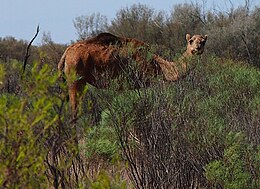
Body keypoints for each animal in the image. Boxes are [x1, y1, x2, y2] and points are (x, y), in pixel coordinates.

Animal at [58, 32, 207, 115]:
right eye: (191, 41)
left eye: (203, 41)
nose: (197, 48)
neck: (160, 66)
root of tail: (65, 54)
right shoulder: (144, 82)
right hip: (75, 78)